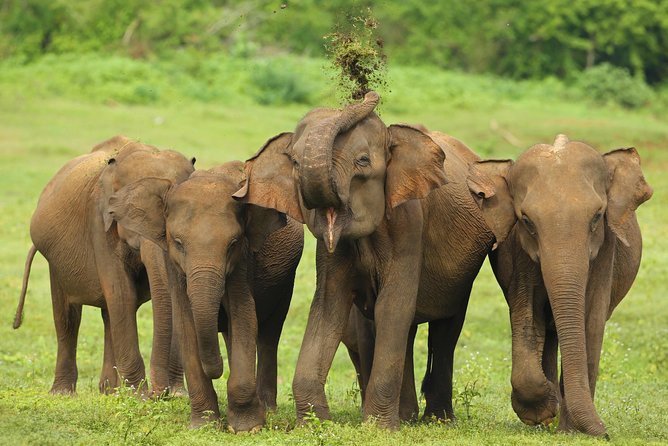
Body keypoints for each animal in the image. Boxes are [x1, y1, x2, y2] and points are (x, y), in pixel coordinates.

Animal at [14, 135, 194, 396]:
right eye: (131, 214)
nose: (160, 394)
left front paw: (175, 395)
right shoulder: (99, 221)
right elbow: (121, 293)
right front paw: (139, 396)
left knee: (109, 314)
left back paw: (109, 391)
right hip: (55, 262)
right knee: (68, 317)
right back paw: (64, 393)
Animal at [106, 161, 304, 432]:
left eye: (233, 243)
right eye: (178, 243)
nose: (217, 370)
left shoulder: (243, 262)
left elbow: (244, 316)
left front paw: (247, 428)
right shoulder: (174, 267)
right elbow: (186, 324)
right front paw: (204, 426)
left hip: (285, 281)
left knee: (269, 334)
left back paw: (267, 409)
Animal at [233, 91, 495, 428]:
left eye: (363, 161)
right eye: (294, 162)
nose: (365, 93)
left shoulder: (409, 225)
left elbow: (392, 306)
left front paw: (379, 428)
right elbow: (329, 306)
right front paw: (316, 423)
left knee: (444, 331)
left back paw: (437, 420)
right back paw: (407, 416)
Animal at [468, 134, 653, 437]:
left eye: (597, 216)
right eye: (527, 221)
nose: (605, 433)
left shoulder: (605, 252)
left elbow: (591, 323)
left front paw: (571, 430)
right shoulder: (518, 253)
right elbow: (527, 316)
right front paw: (543, 410)